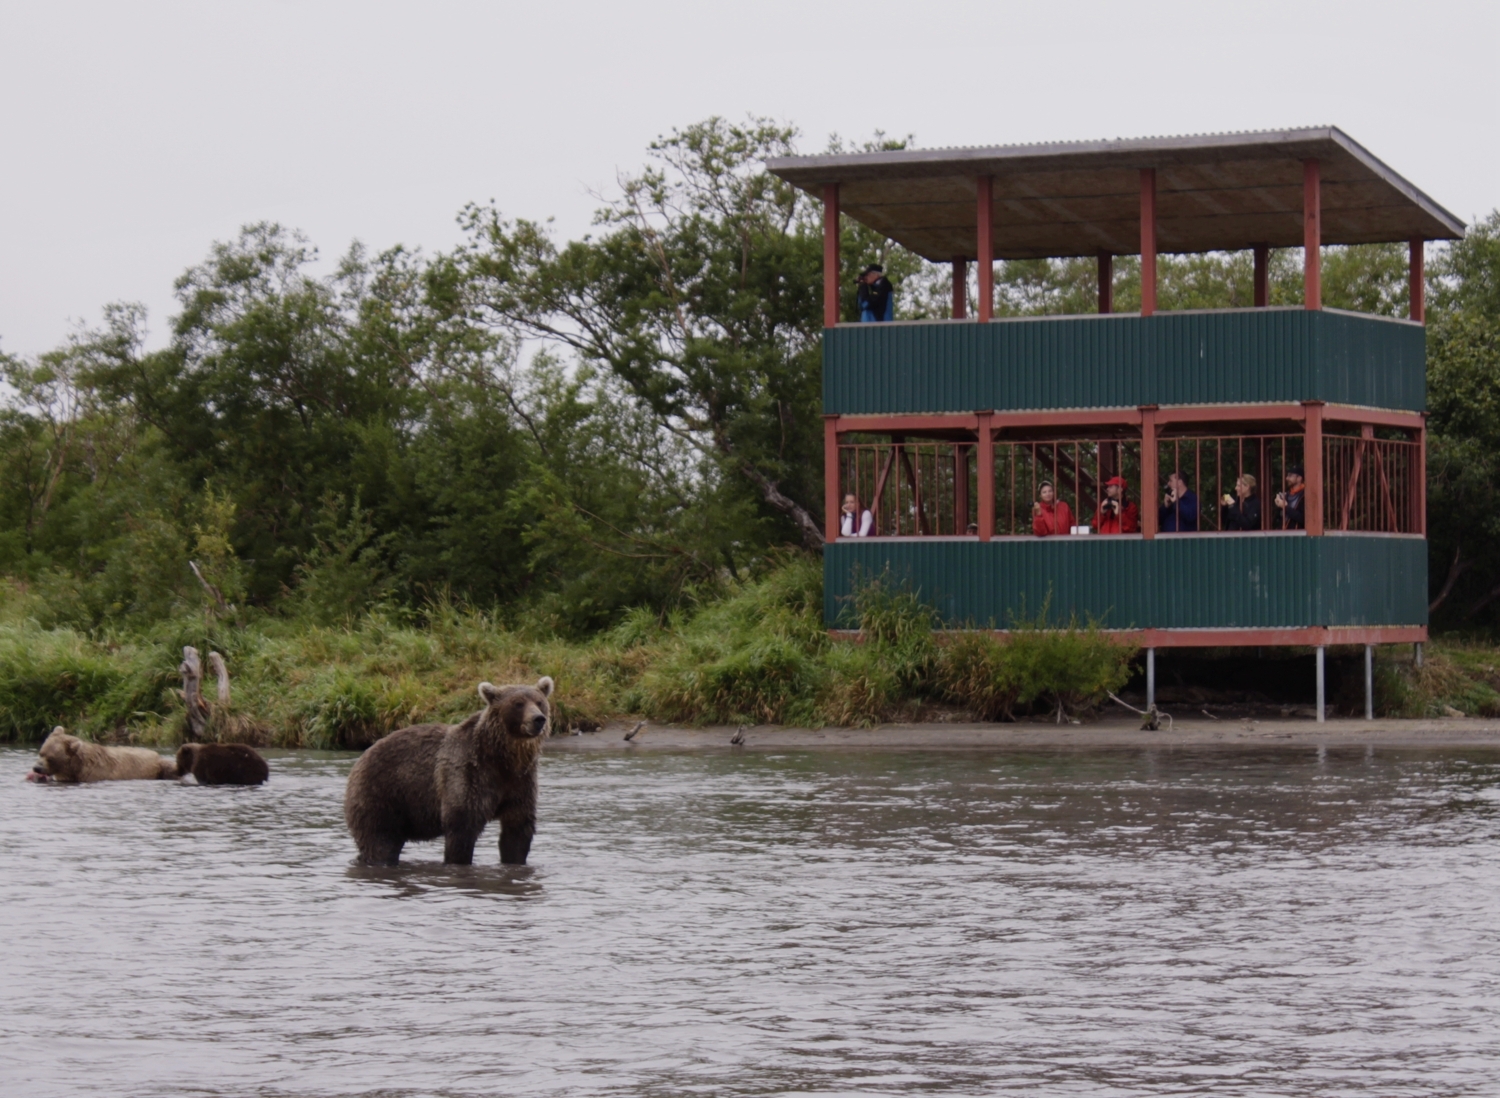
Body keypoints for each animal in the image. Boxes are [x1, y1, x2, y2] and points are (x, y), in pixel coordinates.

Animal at [31, 729, 176, 780]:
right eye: (41, 753)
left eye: (51, 758)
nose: (36, 768)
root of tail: (157, 754)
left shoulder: (95, 773)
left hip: (158, 767)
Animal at [343, 678, 555, 864]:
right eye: (518, 703)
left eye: (539, 702)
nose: (538, 719)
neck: (503, 758)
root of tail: (361, 757)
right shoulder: (467, 773)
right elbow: (462, 828)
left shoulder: (520, 782)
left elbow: (517, 830)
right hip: (381, 794)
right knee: (380, 841)